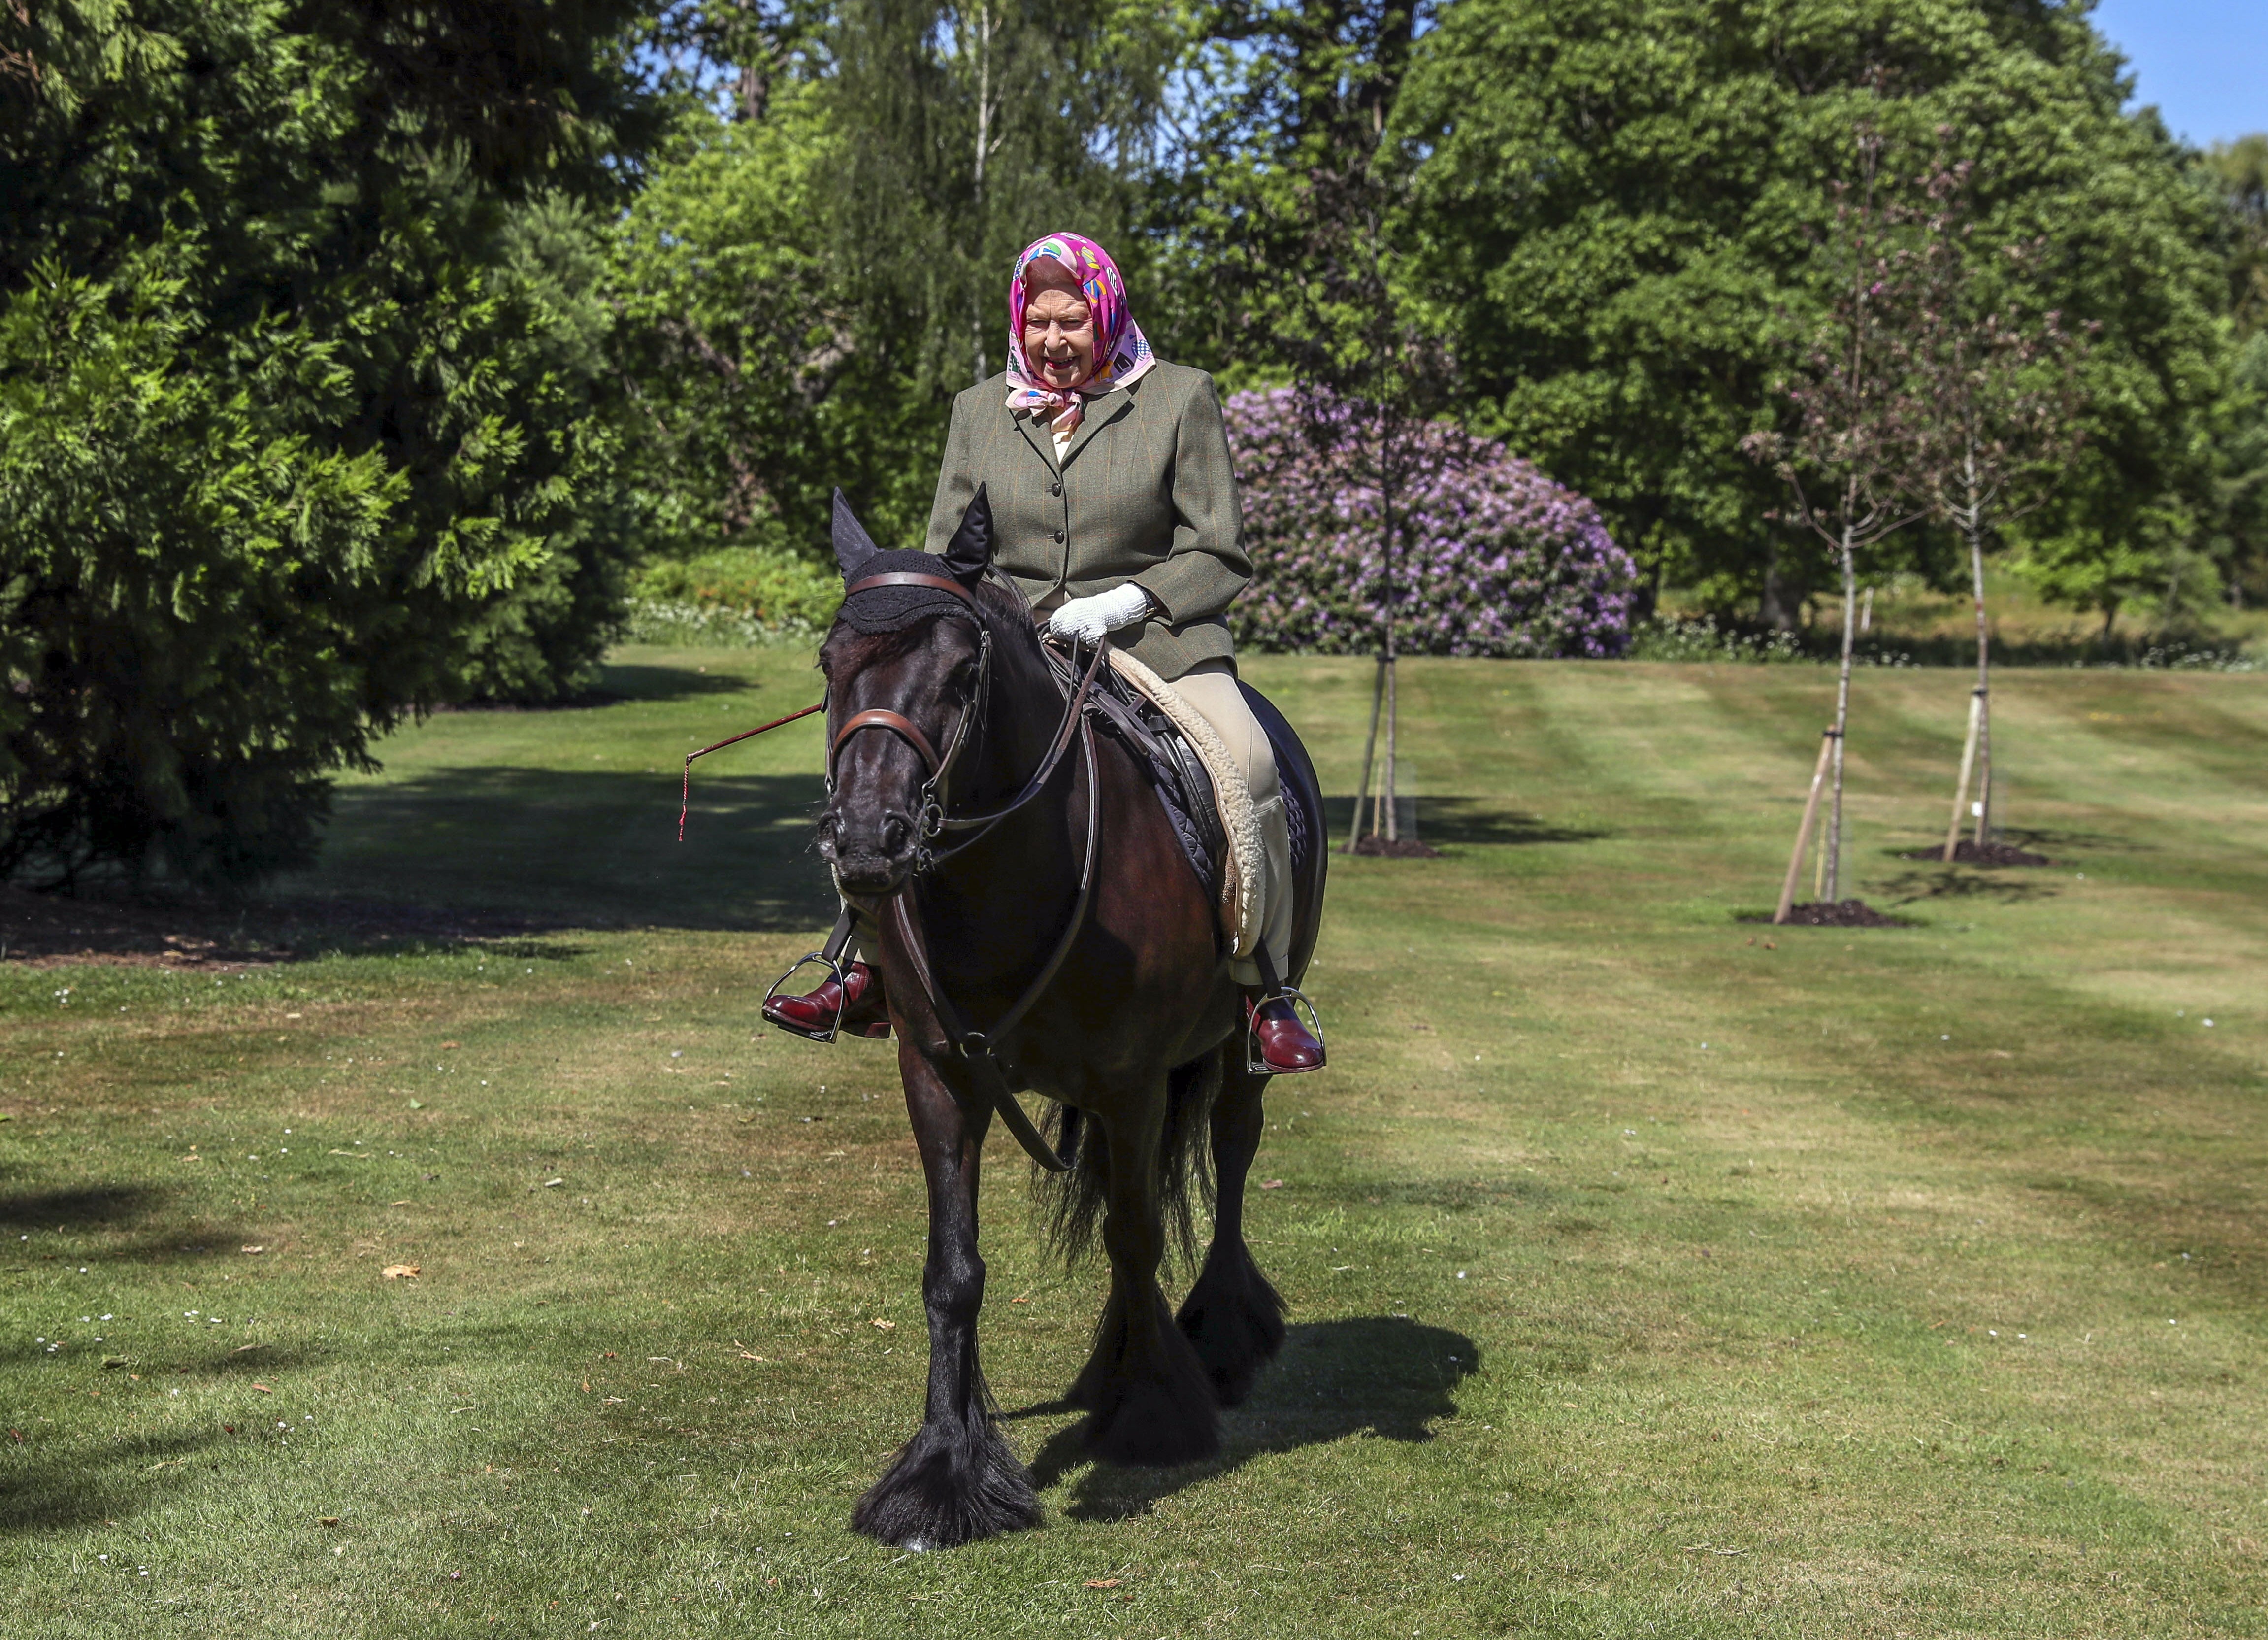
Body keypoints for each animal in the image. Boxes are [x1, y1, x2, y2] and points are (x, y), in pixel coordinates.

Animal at [807, 490, 1324, 1551]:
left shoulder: (1130, 1081)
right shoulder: (938, 1074)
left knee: (1231, 1157)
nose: (868, 841)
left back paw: (1218, 1336)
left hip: (1239, 1049)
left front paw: (1152, 1412)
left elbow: (1135, 1236)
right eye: (829, 663)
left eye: (961, 672)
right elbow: (953, 1268)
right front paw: (943, 1471)